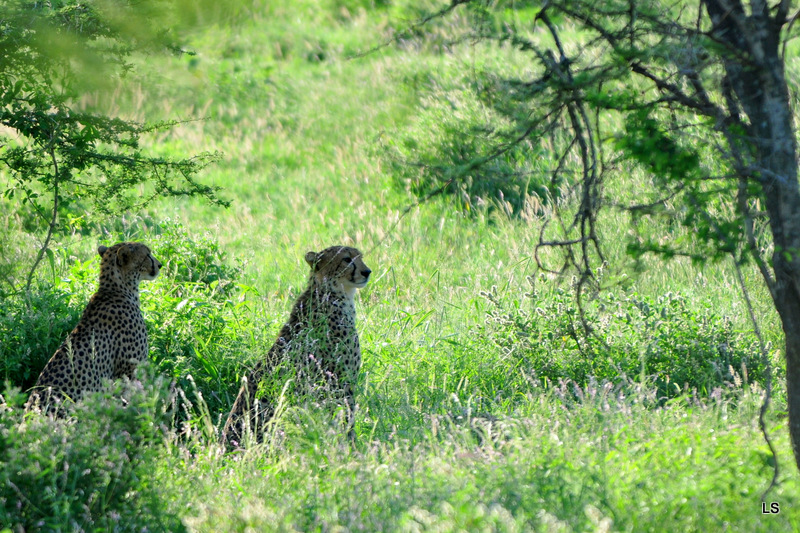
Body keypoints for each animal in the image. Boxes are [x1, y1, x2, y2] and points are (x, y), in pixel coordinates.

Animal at [223, 245, 374, 444]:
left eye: (360, 257)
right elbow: (347, 419)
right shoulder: (340, 383)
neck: (331, 292)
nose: (367, 271)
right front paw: (352, 446)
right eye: (347, 259)